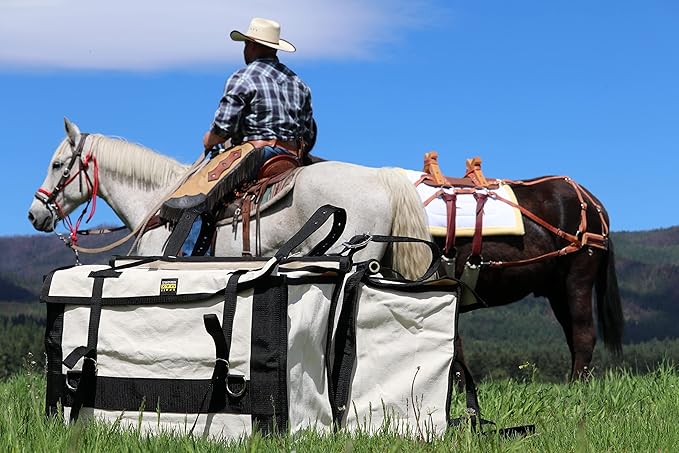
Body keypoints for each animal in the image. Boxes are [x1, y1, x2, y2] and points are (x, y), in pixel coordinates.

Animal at [28, 119, 623, 380]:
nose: (36, 214)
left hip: (574, 283)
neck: (165, 204)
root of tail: (588, 200)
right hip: (555, 287)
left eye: (59, 164)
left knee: (583, 338)